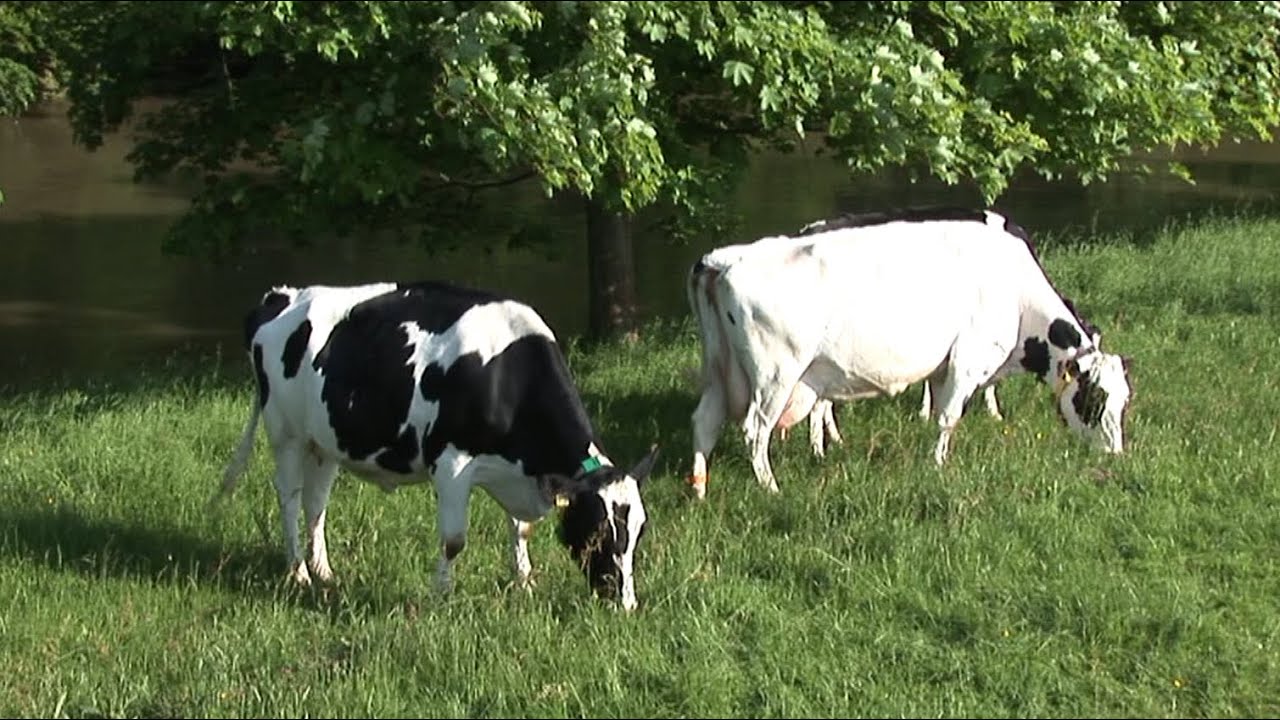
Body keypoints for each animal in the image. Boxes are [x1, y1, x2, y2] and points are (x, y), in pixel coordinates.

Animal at [217, 280, 659, 611]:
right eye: (599, 531)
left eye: (639, 531)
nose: (624, 604)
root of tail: (279, 295)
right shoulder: (451, 465)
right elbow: (453, 540)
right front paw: (441, 596)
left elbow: (521, 528)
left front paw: (524, 581)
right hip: (285, 431)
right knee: (289, 497)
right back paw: (298, 572)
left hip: (324, 440)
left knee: (315, 502)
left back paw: (323, 571)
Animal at [685, 206, 1132, 500]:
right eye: (1094, 399)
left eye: (1123, 401)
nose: (1116, 454)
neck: (1016, 291)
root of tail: (724, 258)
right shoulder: (969, 358)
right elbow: (949, 417)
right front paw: (938, 465)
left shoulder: (944, 364)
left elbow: (936, 411)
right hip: (776, 375)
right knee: (755, 431)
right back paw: (771, 488)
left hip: (719, 370)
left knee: (704, 422)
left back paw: (700, 492)